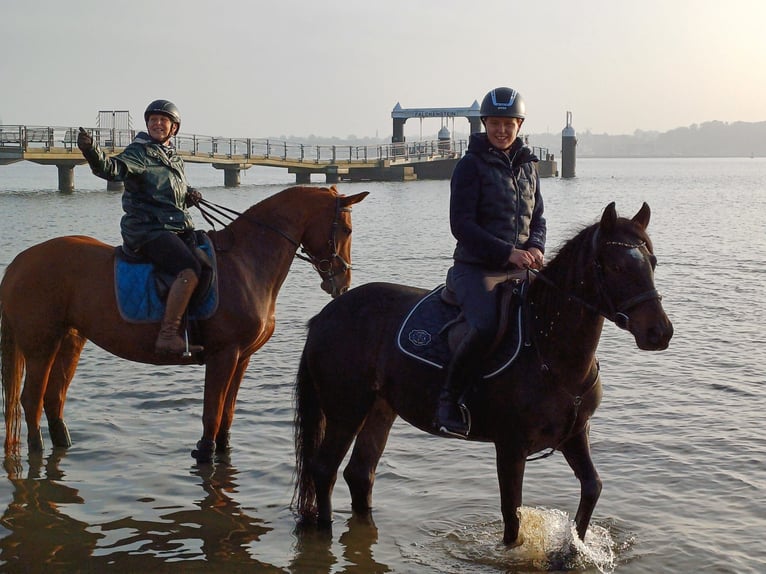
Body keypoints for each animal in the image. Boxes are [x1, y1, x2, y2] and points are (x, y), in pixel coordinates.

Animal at [0, 187, 368, 466]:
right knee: (30, 400)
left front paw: (222, 452)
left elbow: (227, 415)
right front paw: (204, 453)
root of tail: (19, 261)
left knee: (53, 399)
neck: (246, 262)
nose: (343, 282)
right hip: (41, 345)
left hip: (70, 341)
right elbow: (212, 414)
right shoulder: (224, 355)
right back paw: (36, 451)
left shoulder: (242, 358)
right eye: (347, 230)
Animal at [292, 204, 676, 548]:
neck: (548, 348)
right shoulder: (511, 446)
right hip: (346, 411)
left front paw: (570, 550)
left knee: (360, 473)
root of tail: (325, 315)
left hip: (380, 409)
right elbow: (512, 515)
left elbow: (592, 487)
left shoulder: (575, 433)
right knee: (323, 469)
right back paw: (323, 533)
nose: (660, 332)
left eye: (653, 263)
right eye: (615, 266)